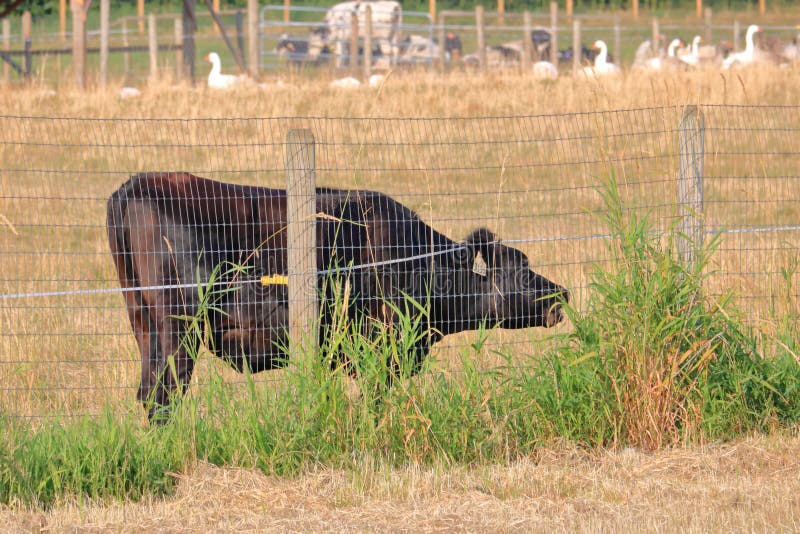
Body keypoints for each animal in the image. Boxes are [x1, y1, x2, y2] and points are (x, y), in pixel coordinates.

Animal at [108, 174, 568, 426]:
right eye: (522, 267)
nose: (561, 293)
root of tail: (136, 184)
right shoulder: (382, 348)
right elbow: (375, 402)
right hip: (178, 329)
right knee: (163, 396)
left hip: (146, 325)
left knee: (149, 394)